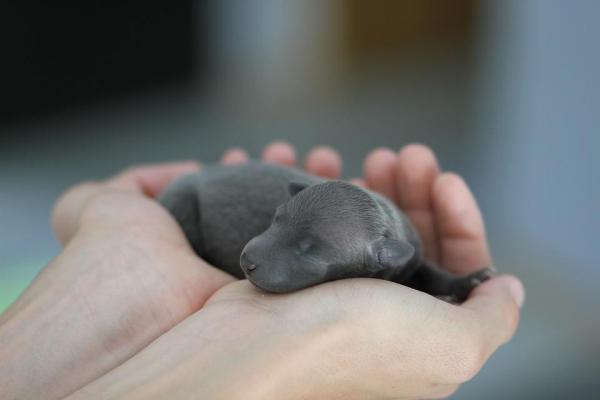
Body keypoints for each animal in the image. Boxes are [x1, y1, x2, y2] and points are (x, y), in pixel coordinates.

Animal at [159, 161, 492, 302]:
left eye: (310, 250)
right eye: (276, 218)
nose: (247, 262)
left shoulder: (411, 257)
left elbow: (431, 272)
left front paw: (468, 280)